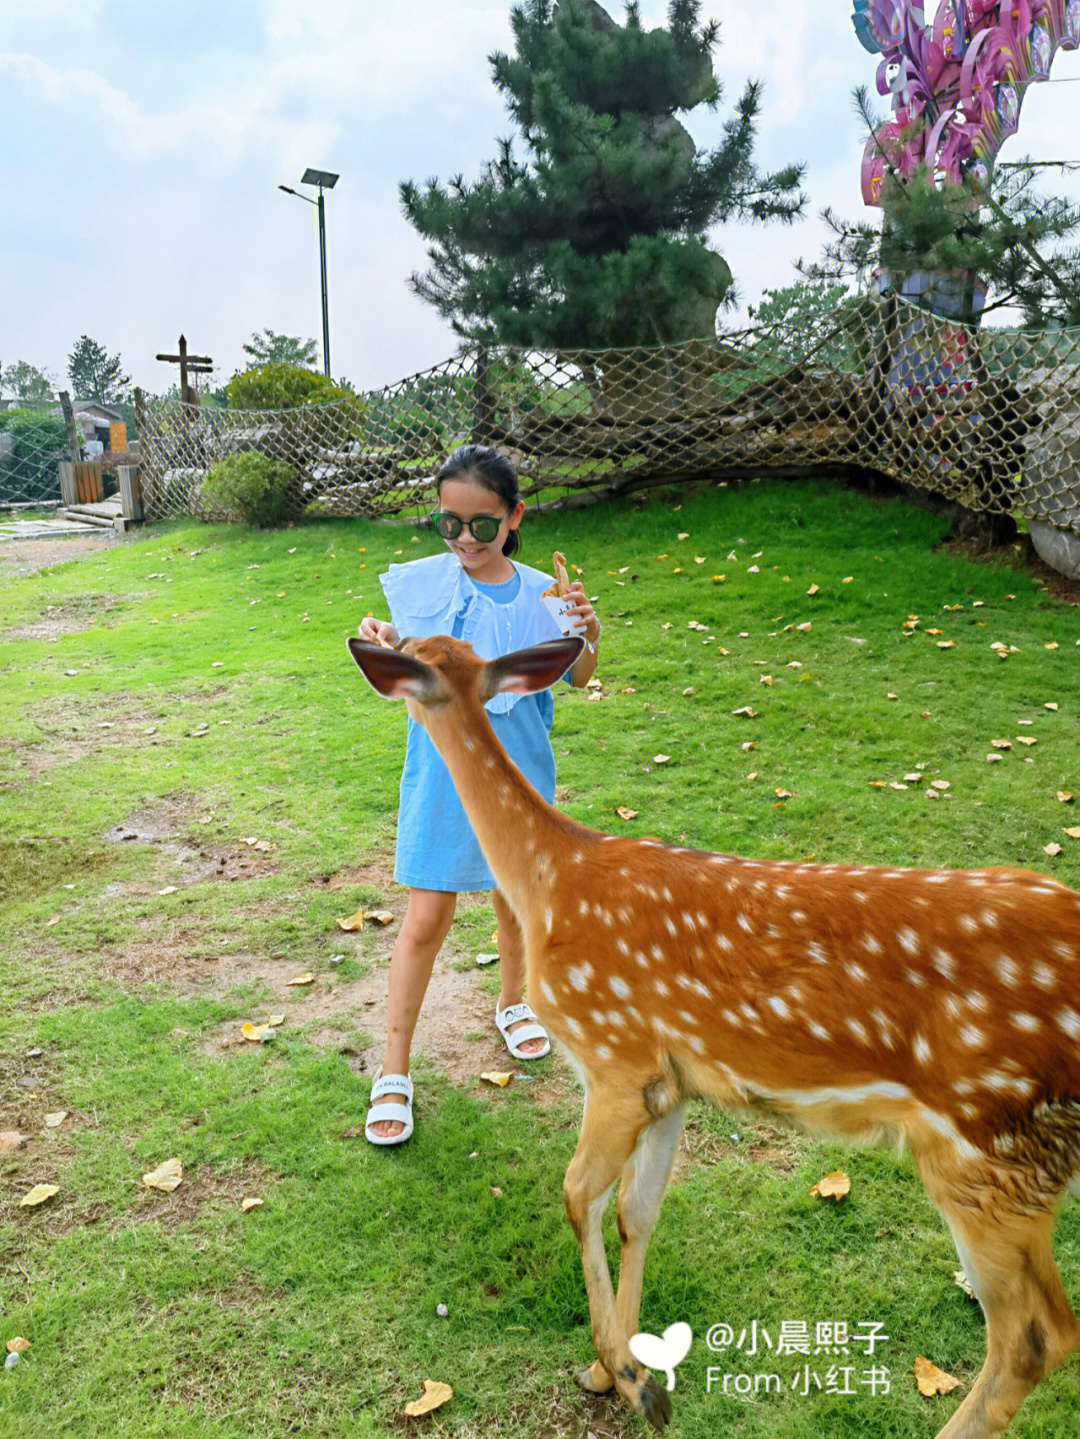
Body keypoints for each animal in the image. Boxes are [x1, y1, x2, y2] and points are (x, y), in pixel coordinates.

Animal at [350, 636, 1080, 1433]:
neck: (549, 880)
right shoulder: (673, 1083)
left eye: (409, 655)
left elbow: (579, 1194)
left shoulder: (615, 1054)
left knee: (1035, 1336)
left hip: (988, 1148)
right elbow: (638, 1212)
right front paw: (616, 1367)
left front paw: (630, 1379)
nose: (374, 641)